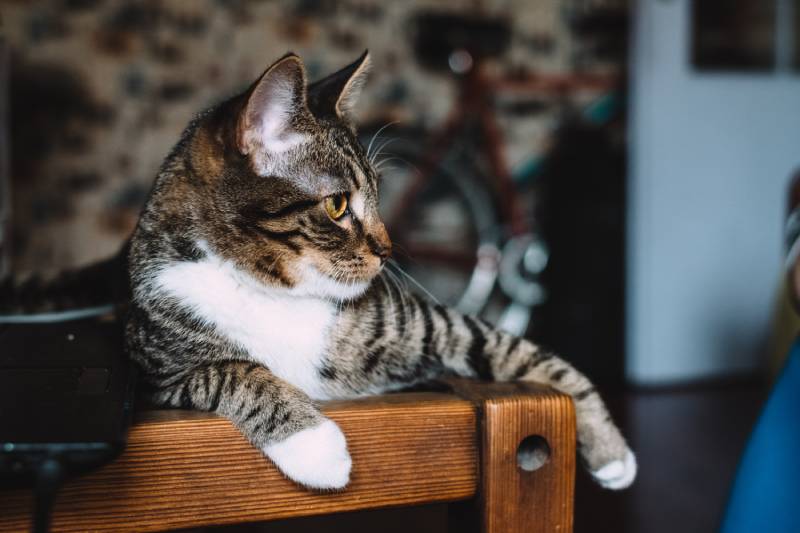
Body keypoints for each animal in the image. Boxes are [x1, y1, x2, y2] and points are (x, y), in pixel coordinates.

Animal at [4, 51, 636, 490]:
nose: (389, 249)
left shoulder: (433, 325)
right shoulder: (158, 370)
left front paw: (612, 452)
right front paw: (315, 445)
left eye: (378, 195)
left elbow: (528, 353)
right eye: (337, 205)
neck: (276, 291)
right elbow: (233, 371)